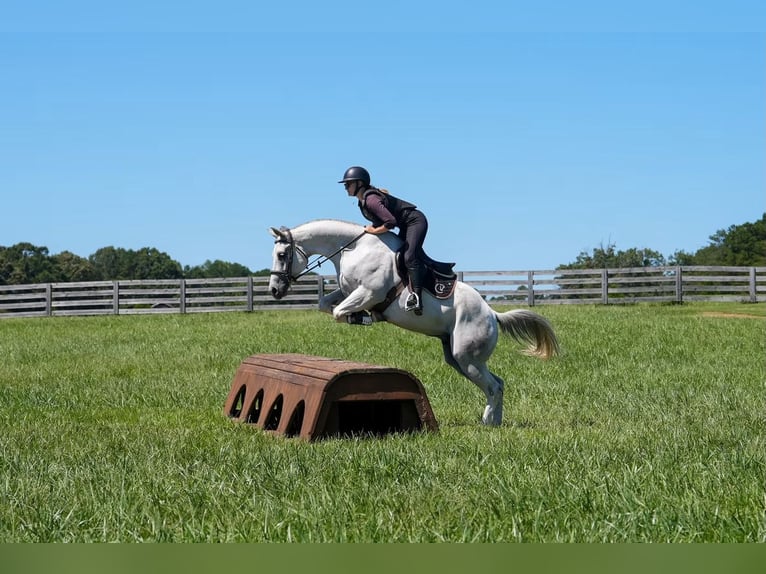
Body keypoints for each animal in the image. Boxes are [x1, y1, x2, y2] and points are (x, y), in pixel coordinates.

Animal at [267, 219, 559, 426]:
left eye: (281, 255)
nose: (274, 290)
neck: (352, 249)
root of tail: (492, 314)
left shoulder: (369, 292)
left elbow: (340, 311)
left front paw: (361, 317)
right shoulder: (348, 290)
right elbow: (327, 305)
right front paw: (356, 315)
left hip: (467, 357)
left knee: (494, 386)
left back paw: (487, 421)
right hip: (460, 359)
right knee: (497, 383)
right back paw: (496, 421)